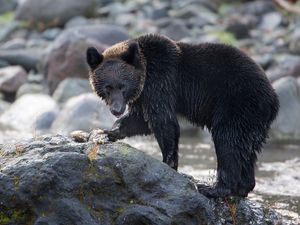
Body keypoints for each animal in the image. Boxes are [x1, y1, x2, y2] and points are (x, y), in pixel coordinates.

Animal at [86, 33, 278, 197]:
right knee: (246, 149)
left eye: (122, 86)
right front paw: (108, 132)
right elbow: (140, 120)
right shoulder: (144, 94)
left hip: (237, 105)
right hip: (254, 121)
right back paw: (244, 187)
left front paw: (168, 164)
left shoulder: (160, 81)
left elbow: (163, 121)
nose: (116, 109)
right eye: (108, 87)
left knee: (228, 142)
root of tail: (273, 100)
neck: (146, 69)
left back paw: (213, 188)